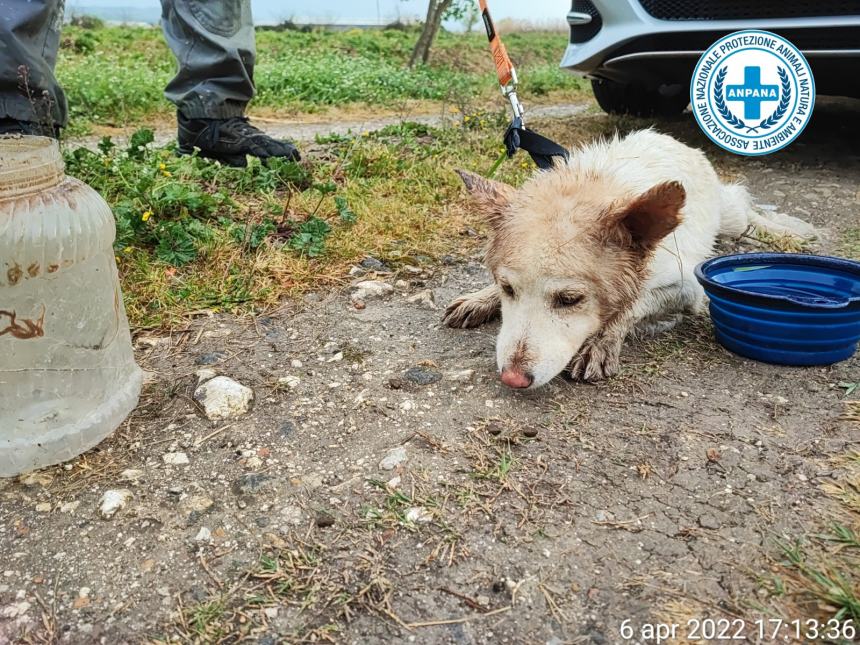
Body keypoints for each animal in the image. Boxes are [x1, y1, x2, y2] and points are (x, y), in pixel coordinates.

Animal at [444, 127, 812, 384]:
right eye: (508, 289)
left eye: (570, 299)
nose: (513, 379)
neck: (593, 188)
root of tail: (674, 140)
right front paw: (481, 298)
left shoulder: (686, 288)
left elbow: (631, 306)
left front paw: (601, 342)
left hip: (730, 217)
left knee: (745, 209)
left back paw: (788, 232)